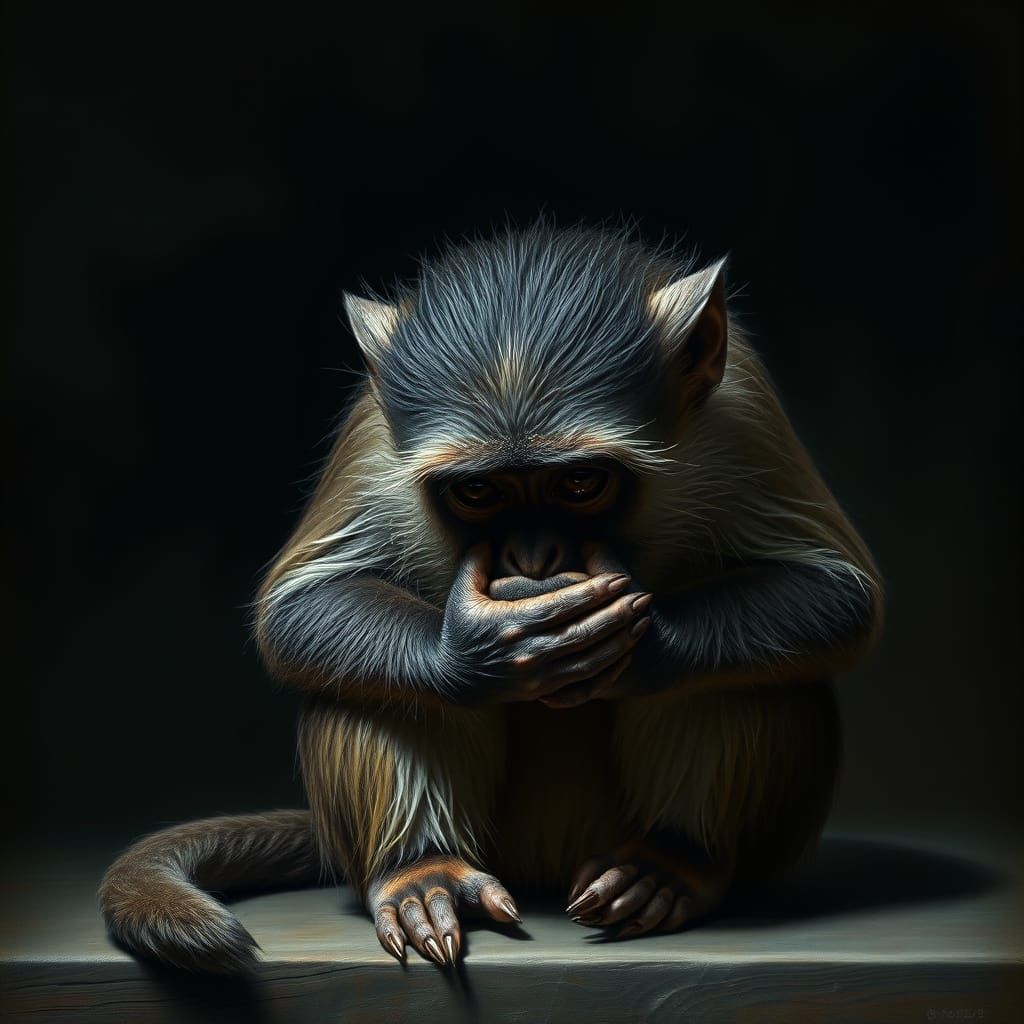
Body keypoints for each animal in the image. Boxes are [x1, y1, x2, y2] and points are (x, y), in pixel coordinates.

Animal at [99, 224, 882, 972]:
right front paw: (480, 652)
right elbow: (300, 605)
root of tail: (545, 863)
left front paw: (646, 649)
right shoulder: (373, 429)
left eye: (579, 482)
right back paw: (421, 869)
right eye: (479, 490)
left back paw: (671, 860)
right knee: (374, 686)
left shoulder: (743, 411)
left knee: (745, 677)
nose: (534, 559)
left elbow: (834, 595)